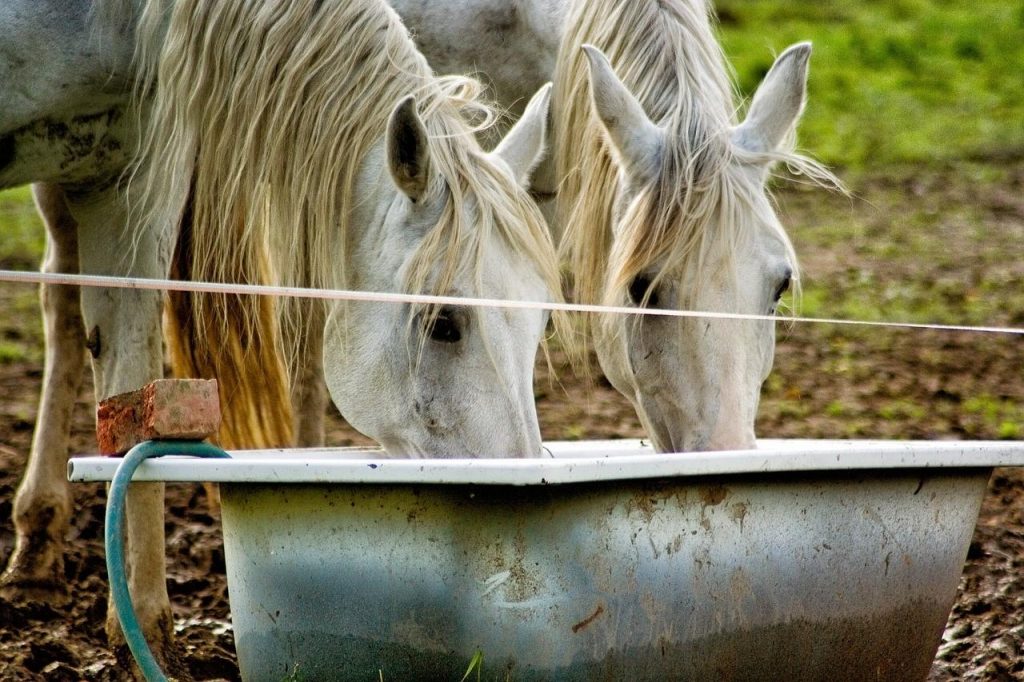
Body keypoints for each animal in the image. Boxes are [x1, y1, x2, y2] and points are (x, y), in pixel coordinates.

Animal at [1, 0, 561, 672]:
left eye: (541, 323)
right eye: (443, 322)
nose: (522, 492)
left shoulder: (123, 177)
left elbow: (132, 398)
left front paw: (143, 638)